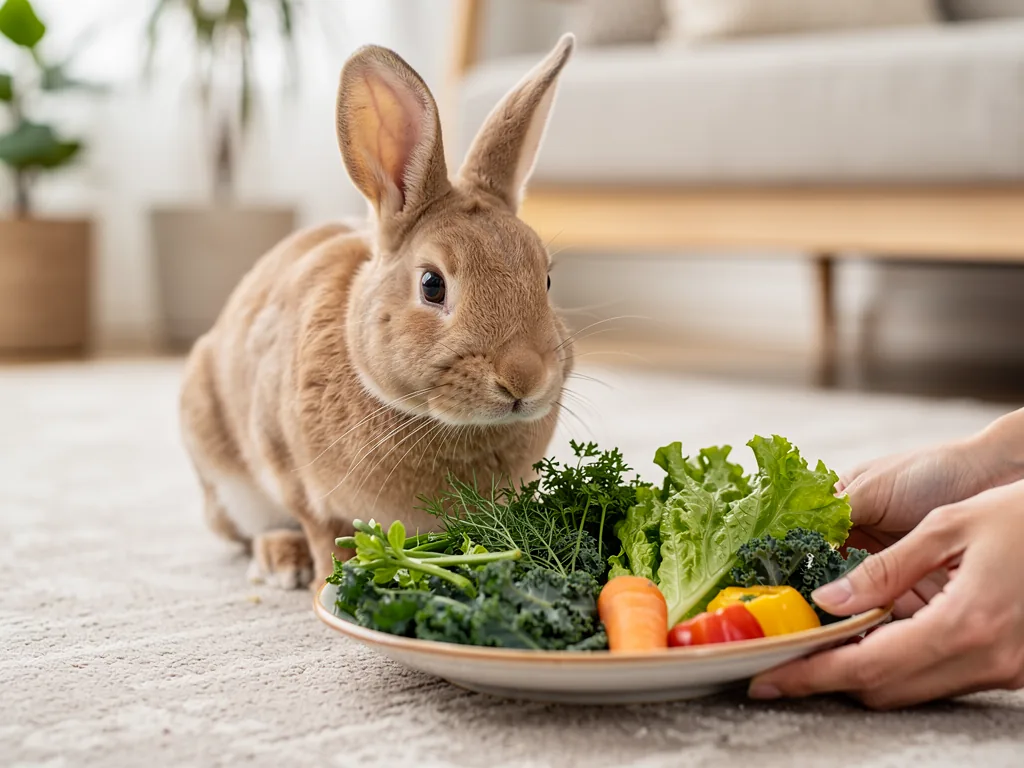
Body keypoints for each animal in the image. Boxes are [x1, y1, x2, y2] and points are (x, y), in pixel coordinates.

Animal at [179, 34, 578, 590]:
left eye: (546, 279)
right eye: (432, 285)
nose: (524, 378)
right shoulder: (297, 477)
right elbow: (324, 533)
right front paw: (331, 583)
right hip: (228, 481)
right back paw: (283, 563)